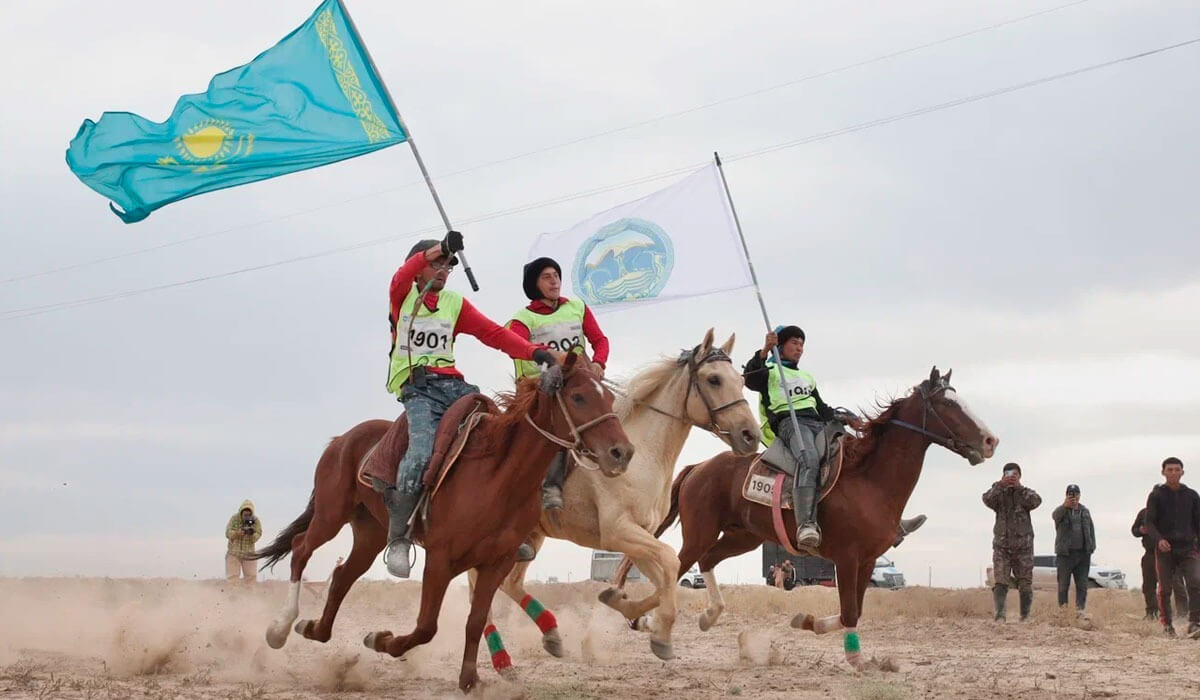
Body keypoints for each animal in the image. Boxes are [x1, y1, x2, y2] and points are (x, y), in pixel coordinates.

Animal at [253, 355, 628, 696]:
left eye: (608, 397)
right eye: (578, 397)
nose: (622, 452)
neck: (498, 477)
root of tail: (341, 440)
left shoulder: (497, 562)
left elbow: (475, 621)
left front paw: (469, 680)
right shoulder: (440, 559)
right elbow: (426, 627)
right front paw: (381, 640)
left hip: (370, 534)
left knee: (343, 576)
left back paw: (314, 629)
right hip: (331, 515)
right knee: (301, 549)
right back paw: (279, 629)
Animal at [463, 326, 753, 667]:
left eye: (741, 380)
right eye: (714, 379)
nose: (750, 434)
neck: (644, 455)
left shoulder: (640, 535)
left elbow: (663, 577)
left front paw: (630, 609)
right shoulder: (618, 531)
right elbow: (670, 563)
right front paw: (659, 634)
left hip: (531, 537)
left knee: (509, 582)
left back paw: (551, 635)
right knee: (477, 587)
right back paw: (499, 656)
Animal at [614, 369, 998, 667]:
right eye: (949, 405)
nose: (990, 440)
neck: (870, 479)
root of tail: (698, 467)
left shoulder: (867, 560)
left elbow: (853, 610)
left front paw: (808, 621)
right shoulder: (847, 558)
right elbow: (850, 612)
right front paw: (855, 658)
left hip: (742, 537)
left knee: (707, 561)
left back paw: (706, 616)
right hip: (700, 533)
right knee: (677, 569)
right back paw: (643, 618)